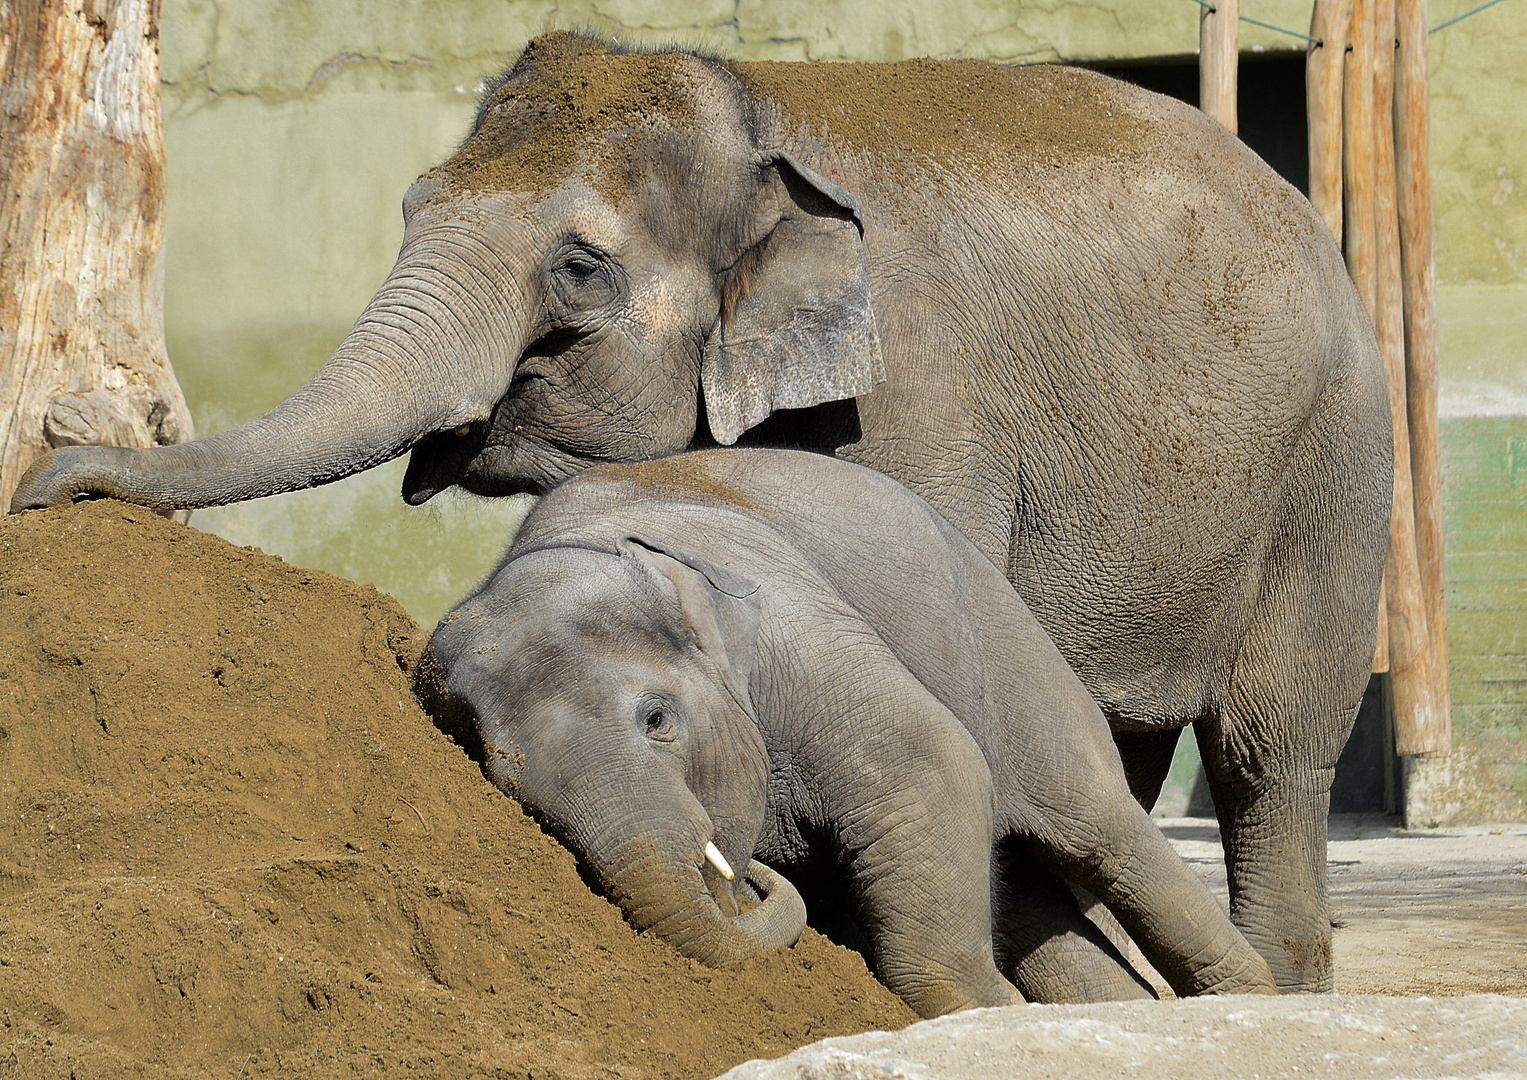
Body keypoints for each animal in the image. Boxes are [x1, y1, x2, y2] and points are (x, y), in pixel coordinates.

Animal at [433, 442, 1276, 1020]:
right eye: (507, 785)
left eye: (656, 719)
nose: (754, 875)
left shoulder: (799, 638)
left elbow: (929, 762)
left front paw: (976, 1012)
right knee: (1029, 893)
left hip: (1015, 663)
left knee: (1098, 831)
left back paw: (1245, 1001)